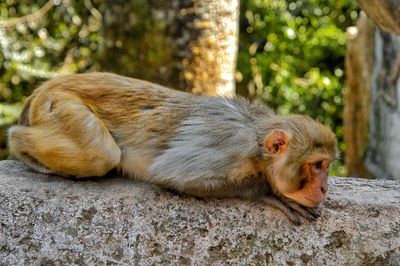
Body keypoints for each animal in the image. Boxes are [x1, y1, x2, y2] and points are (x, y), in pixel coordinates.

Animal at [7, 72, 338, 224]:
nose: (324, 188)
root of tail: (48, 86)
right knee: (101, 155)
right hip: (61, 105)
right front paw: (270, 193)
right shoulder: (231, 147)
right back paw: (19, 143)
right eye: (317, 165)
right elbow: (172, 172)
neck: (257, 142)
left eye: (327, 166)